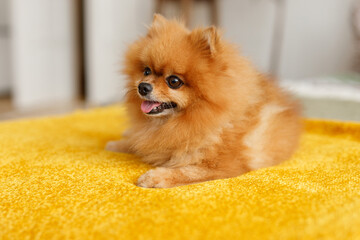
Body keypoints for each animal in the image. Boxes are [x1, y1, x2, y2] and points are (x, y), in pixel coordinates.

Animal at [106, 14, 300, 188]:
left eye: (174, 81)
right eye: (146, 71)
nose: (143, 87)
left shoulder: (223, 166)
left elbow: (186, 171)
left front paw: (155, 177)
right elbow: (140, 143)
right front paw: (119, 144)